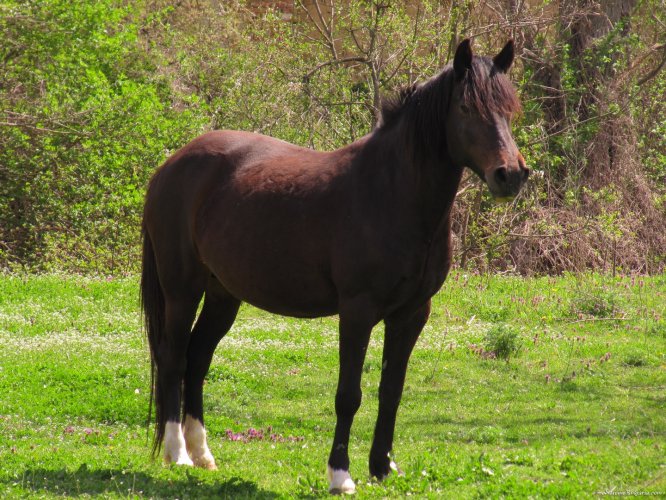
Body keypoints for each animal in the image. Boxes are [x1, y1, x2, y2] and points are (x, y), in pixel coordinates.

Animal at [140, 38, 528, 494]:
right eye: (466, 108)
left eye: (510, 107)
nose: (510, 175)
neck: (391, 194)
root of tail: (171, 164)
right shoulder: (357, 311)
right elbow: (349, 395)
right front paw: (340, 475)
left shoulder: (412, 314)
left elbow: (391, 391)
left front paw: (382, 467)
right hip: (181, 289)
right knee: (173, 357)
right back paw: (178, 453)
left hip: (223, 294)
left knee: (198, 357)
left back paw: (203, 454)